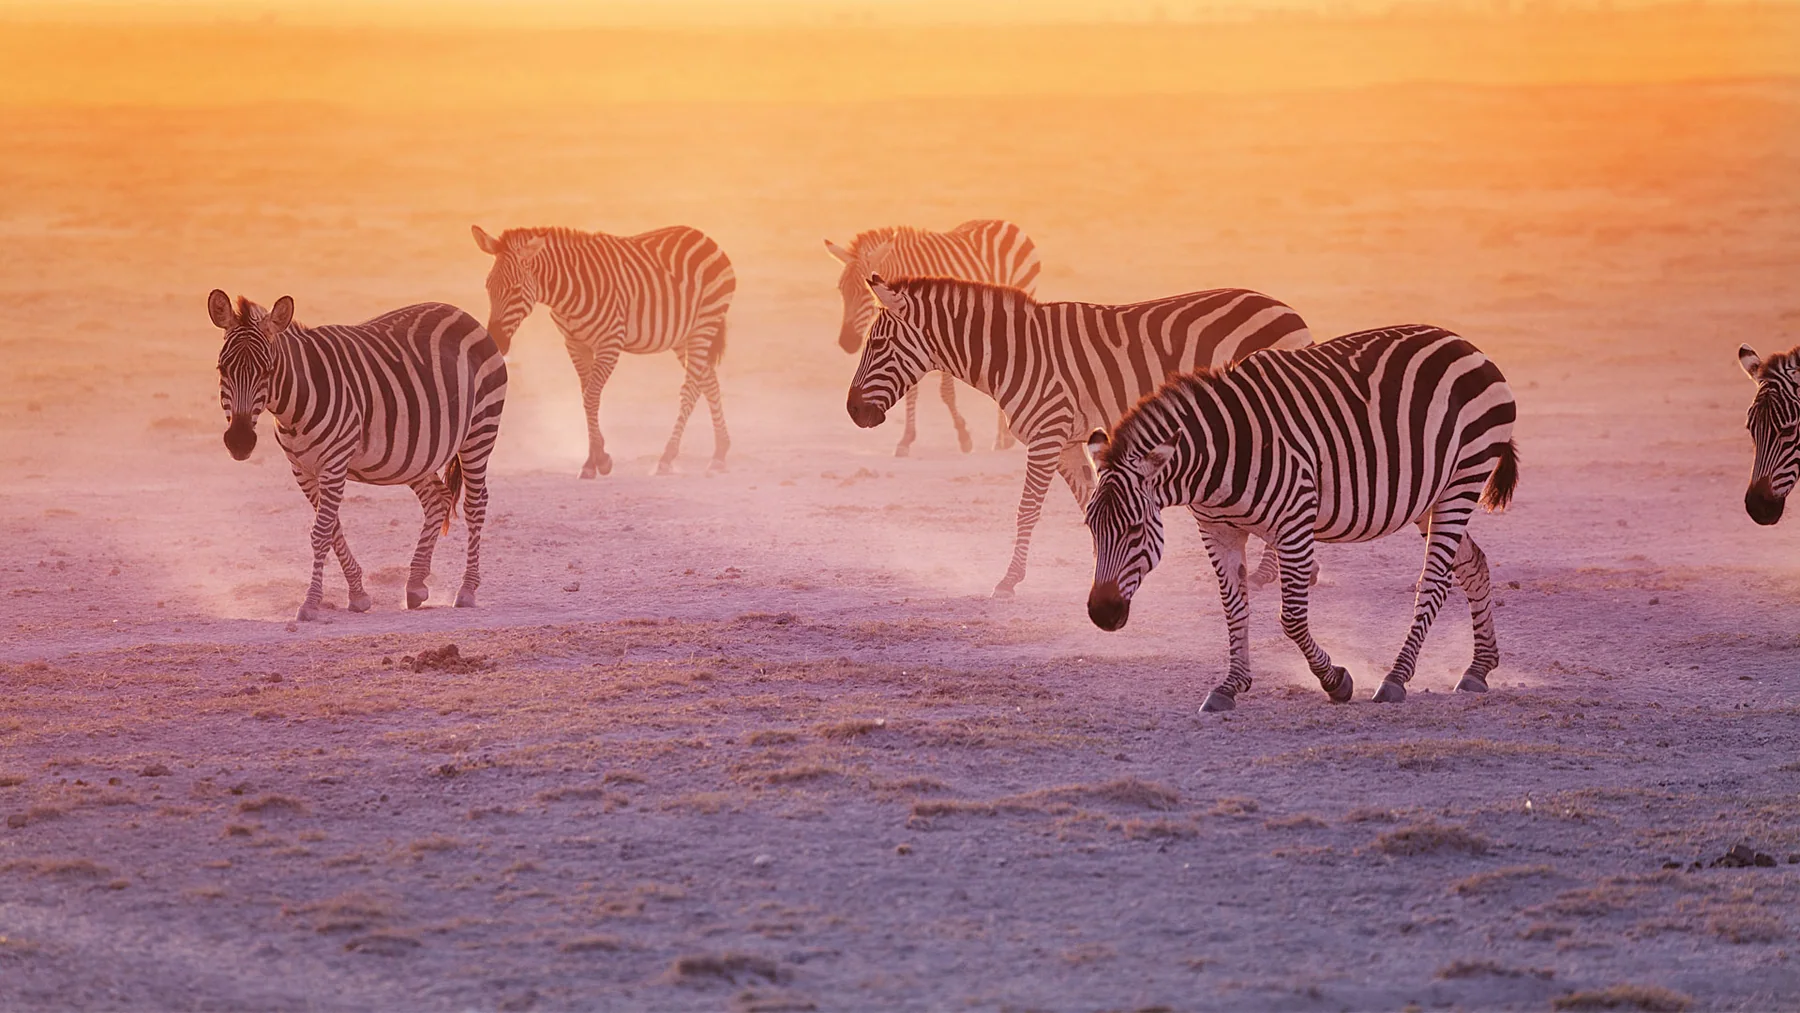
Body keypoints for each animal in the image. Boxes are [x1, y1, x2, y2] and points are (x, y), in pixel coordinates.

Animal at [208, 289, 507, 622]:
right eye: (222, 369)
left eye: (268, 371)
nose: (239, 441)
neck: (294, 405)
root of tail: (462, 313)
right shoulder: (302, 469)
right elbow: (332, 529)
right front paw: (358, 594)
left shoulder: (335, 462)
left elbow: (321, 532)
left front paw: (310, 603)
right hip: (415, 454)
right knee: (437, 498)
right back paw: (416, 585)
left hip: (480, 427)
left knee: (475, 503)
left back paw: (466, 589)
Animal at [473, 224, 734, 477]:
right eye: (488, 286)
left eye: (515, 289)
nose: (496, 341)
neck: (569, 291)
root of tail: (704, 236)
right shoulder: (575, 344)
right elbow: (587, 395)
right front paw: (597, 459)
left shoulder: (610, 342)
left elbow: (591, 397)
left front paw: (597, 460)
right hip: (683, 337)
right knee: (708, 381)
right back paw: (720, 454)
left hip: (704, 323)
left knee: (690, 388)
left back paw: (667, 458)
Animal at [826, 221, 1038, 457]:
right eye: (841, 289)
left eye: (865, 295)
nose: (847, 343)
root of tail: (1003, 222)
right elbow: (911, 391)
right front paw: (906, 439)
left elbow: (946, 391)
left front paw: (963, 435)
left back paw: (1004, 439)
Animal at [846, 275, 1311, 596]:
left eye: (879, 344)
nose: (852, 411)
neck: (1012, 354)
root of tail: (1290, 311)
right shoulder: (1069, 441)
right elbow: (1091, 502)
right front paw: (1102, 567)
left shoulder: (1046, 432)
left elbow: (1027, 510)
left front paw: (1009, 580)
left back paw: (1268, 572)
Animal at [1083, 324, 1518, 711]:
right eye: (1090, 528)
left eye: (1136, 528)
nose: (1101, 615)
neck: (1216, 458)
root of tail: (1464, 344)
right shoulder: (1217, 529)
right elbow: (1233, 607)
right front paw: (1230, 685)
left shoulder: (1294, 521)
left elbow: (1291, 618)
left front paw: (1336, 681)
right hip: (1430, 497)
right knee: (1473, 565)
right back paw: (1478, 669)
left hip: (1463, 479)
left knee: (1434, 583)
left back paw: (1395, 679)